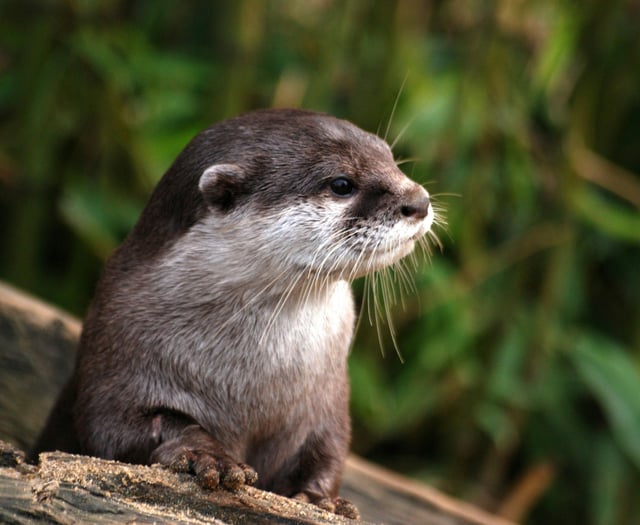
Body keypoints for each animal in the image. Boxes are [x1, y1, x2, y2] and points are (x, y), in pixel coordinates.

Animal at [30, 109, 435, 518]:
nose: (419, 201)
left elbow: (329, 451)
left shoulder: (328, 401)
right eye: (341, 184)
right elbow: (116, 428)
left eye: (390, 158)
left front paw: (321, 499)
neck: (252, 383)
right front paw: (206, 455)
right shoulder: (116, 348)